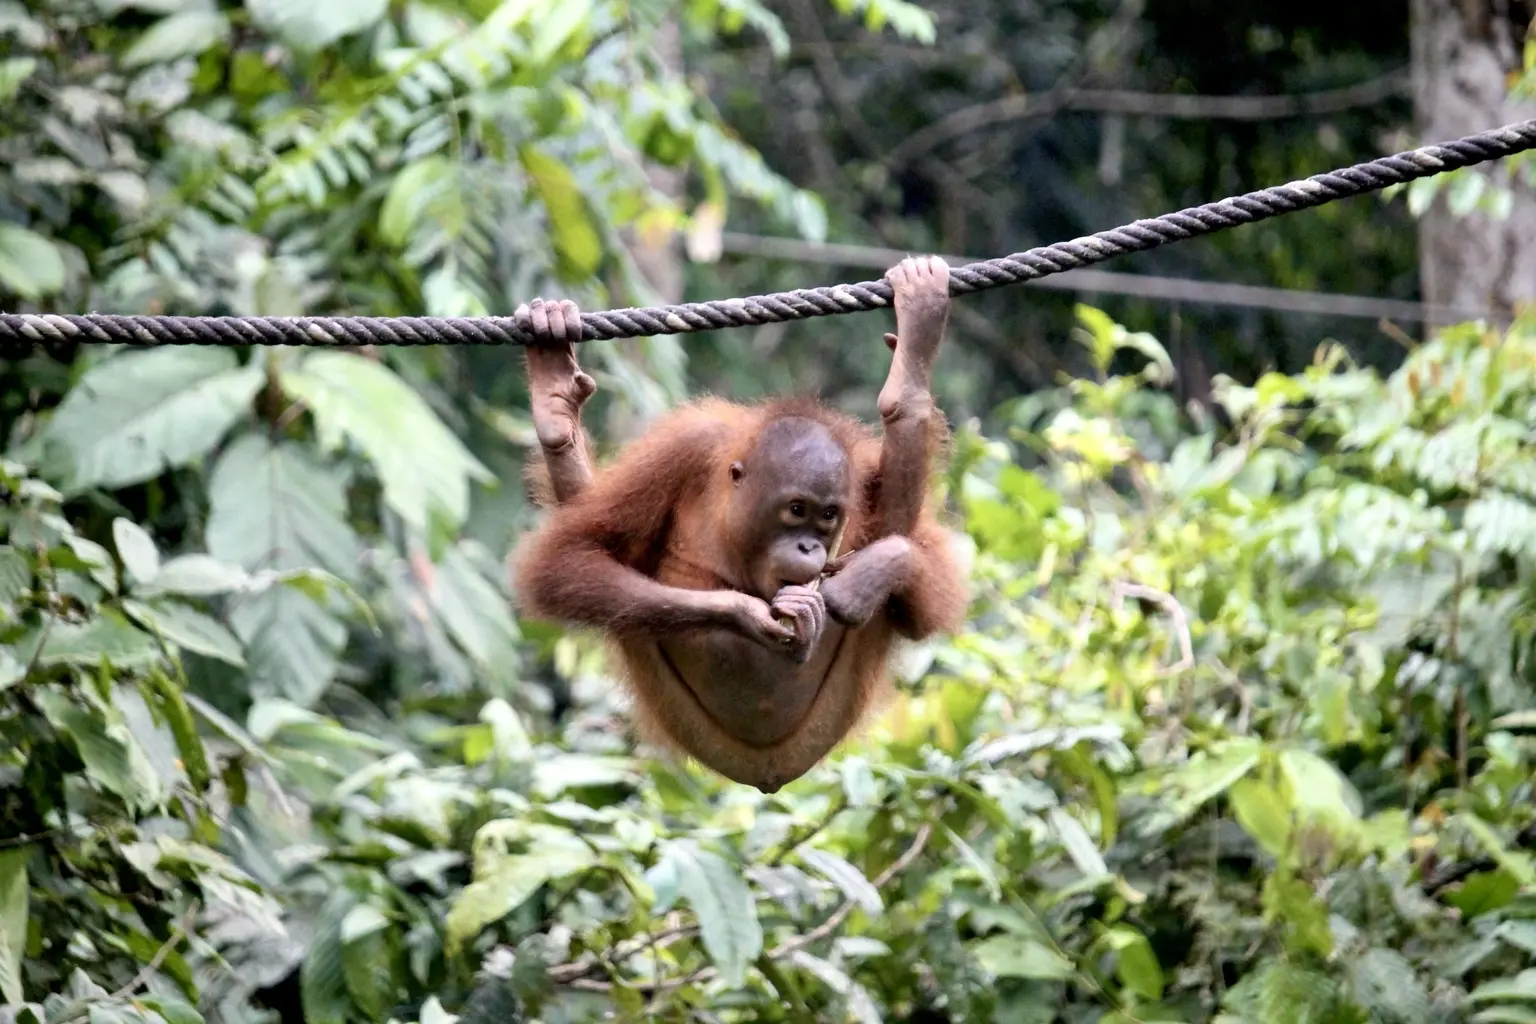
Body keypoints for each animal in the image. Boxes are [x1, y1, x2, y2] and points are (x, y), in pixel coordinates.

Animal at [510, 256, 969, 793]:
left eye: (828, 516)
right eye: (797, 510)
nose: (811, 548)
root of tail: (765, 773)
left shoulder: (858, 474)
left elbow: (922, 591)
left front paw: (868, 573)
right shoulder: (682, 448)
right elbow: (568, 557)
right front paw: (741, 613)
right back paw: (555, 401)